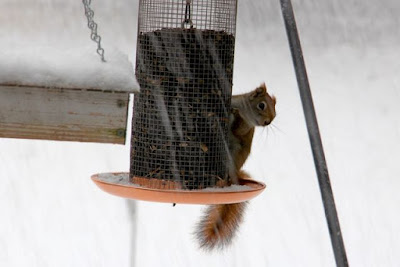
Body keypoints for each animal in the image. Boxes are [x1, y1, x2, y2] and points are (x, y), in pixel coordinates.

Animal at [195, 82, 276, 250]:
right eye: (262, 105)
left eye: (275, 114)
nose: (268, 122)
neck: (245, 110)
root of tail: (236, 175)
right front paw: (233, 110)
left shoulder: (245, 127)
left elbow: (237, 130)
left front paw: (235, 113)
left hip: (232, 154)